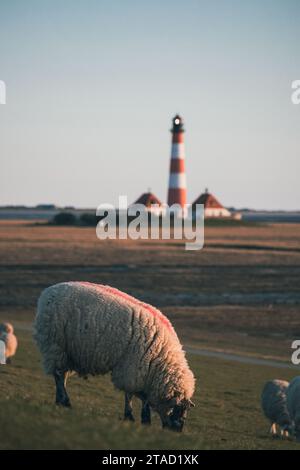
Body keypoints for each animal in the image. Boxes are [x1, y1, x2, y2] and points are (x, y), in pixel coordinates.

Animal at [34, 280, 196, 432]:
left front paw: (145, 419)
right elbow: (131, 395)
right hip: (55, 344)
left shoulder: (143, 374)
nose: (177, 431)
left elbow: (143, 398)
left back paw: (60, 401)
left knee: (62, 376)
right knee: (58, 375)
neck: (160, 359)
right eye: (177, 409)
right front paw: (131, 416)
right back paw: (65, 401)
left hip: (67, 353)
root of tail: (48, 291)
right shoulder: (132, 369)